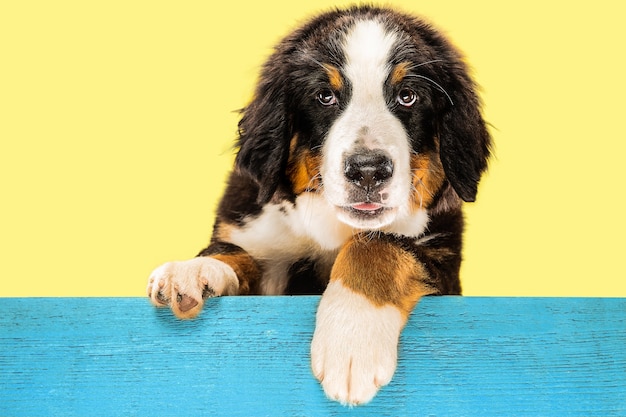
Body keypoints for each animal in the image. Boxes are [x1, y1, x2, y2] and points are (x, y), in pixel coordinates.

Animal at [146, 4, 488, 404]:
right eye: (325, 97)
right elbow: (233, 251)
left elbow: (378, 246)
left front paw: (352, 339)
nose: (368, 170)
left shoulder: (441, 260)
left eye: (408, 96)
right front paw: (192, 271)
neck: (332, 227)